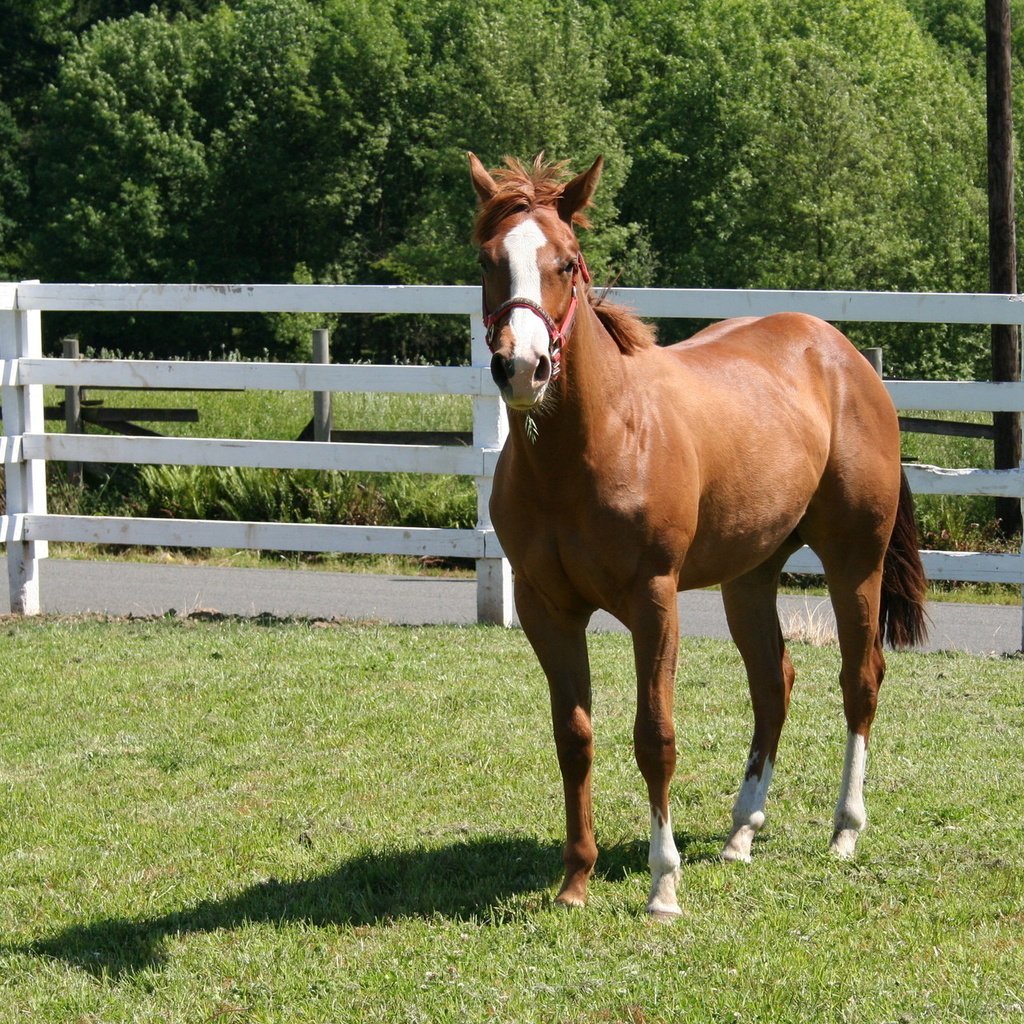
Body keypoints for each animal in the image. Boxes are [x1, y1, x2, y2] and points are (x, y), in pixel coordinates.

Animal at [471, 153, 929, 921]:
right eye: (488, 260)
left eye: (567, 261)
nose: (522, 367)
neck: (591, 445)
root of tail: (844, 355)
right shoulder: (545, 608)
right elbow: (574, 736)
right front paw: (575, 880)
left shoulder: (654, 601)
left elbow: (654, 738)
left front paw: (663, 886)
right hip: (749, 577)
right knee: (773, 684)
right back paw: (742, 832)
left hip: (854, 563)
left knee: (859, 680)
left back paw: (844, 830)